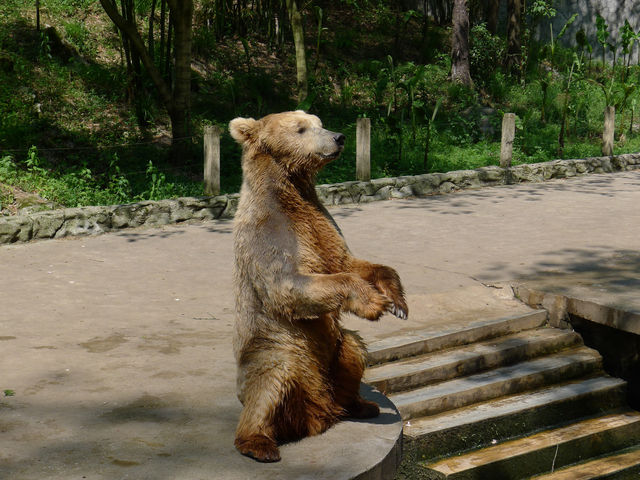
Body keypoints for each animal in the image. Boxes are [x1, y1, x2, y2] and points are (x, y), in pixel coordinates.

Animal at [231, 110, 410, 464]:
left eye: (319, 122)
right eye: (301, 129)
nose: (338, 137)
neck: (291, 189)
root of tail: (315, 416)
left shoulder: (322, 223)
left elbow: (348, 262)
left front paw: (397, 301)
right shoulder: (271, 232)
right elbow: (288, 286)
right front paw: (374, 303)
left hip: (333, 354)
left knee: (353, 350)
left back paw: (360, 405)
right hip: (275, 349)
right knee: (271, 380)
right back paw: (259, 443)